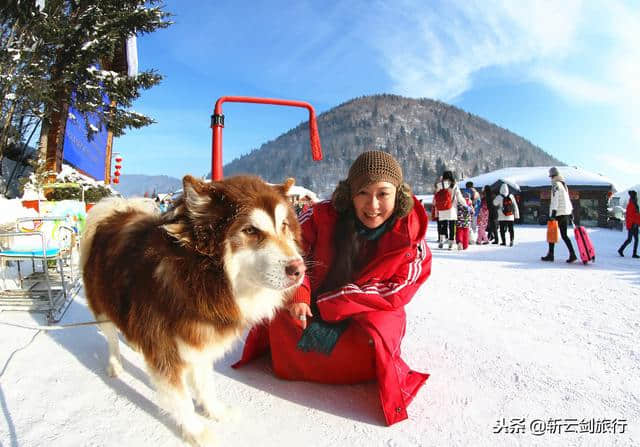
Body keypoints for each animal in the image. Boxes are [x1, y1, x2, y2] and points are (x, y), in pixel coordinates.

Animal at [80, 176, 304, 447]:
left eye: (284, 226)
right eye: (250, 230)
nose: (299, 269)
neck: (199, 284)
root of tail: (115, 212)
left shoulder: (201, 339)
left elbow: (206, 385)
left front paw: (215, 412)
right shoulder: (163, 348)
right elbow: (181, 398)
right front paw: (197, 432)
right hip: (103, 307)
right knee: (112, 338)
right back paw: (115, 365)